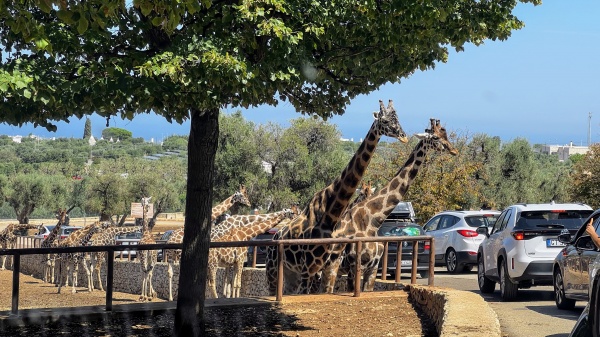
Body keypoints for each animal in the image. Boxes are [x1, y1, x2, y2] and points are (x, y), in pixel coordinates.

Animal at [266, 99, 408, 294]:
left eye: (397, 118)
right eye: (385, 121)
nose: (404, 136)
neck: (330, 217)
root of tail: (274, 237)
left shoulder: (333, 267)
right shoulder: (310, 268)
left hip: (292, 273)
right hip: (274, 271)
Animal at [324, 118, 460, 292]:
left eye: (446, 135)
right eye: (435, 137)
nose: (454, 150)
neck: (372, 221)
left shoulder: (372, 268)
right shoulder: (355, 267)